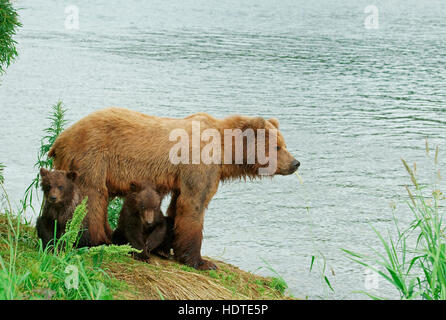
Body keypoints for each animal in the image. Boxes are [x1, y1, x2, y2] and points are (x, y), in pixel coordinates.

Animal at [48, 107, 300, 270]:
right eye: (277, 147)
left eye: (284, 144)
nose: (296, 163)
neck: (225, 149)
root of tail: (61, 138)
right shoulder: (199, 165)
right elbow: (194, 205)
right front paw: (202, 261)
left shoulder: (182, 177)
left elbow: (177, 206)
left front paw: (165, 247)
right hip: (92, 157)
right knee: (92, 197)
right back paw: (98, 239)